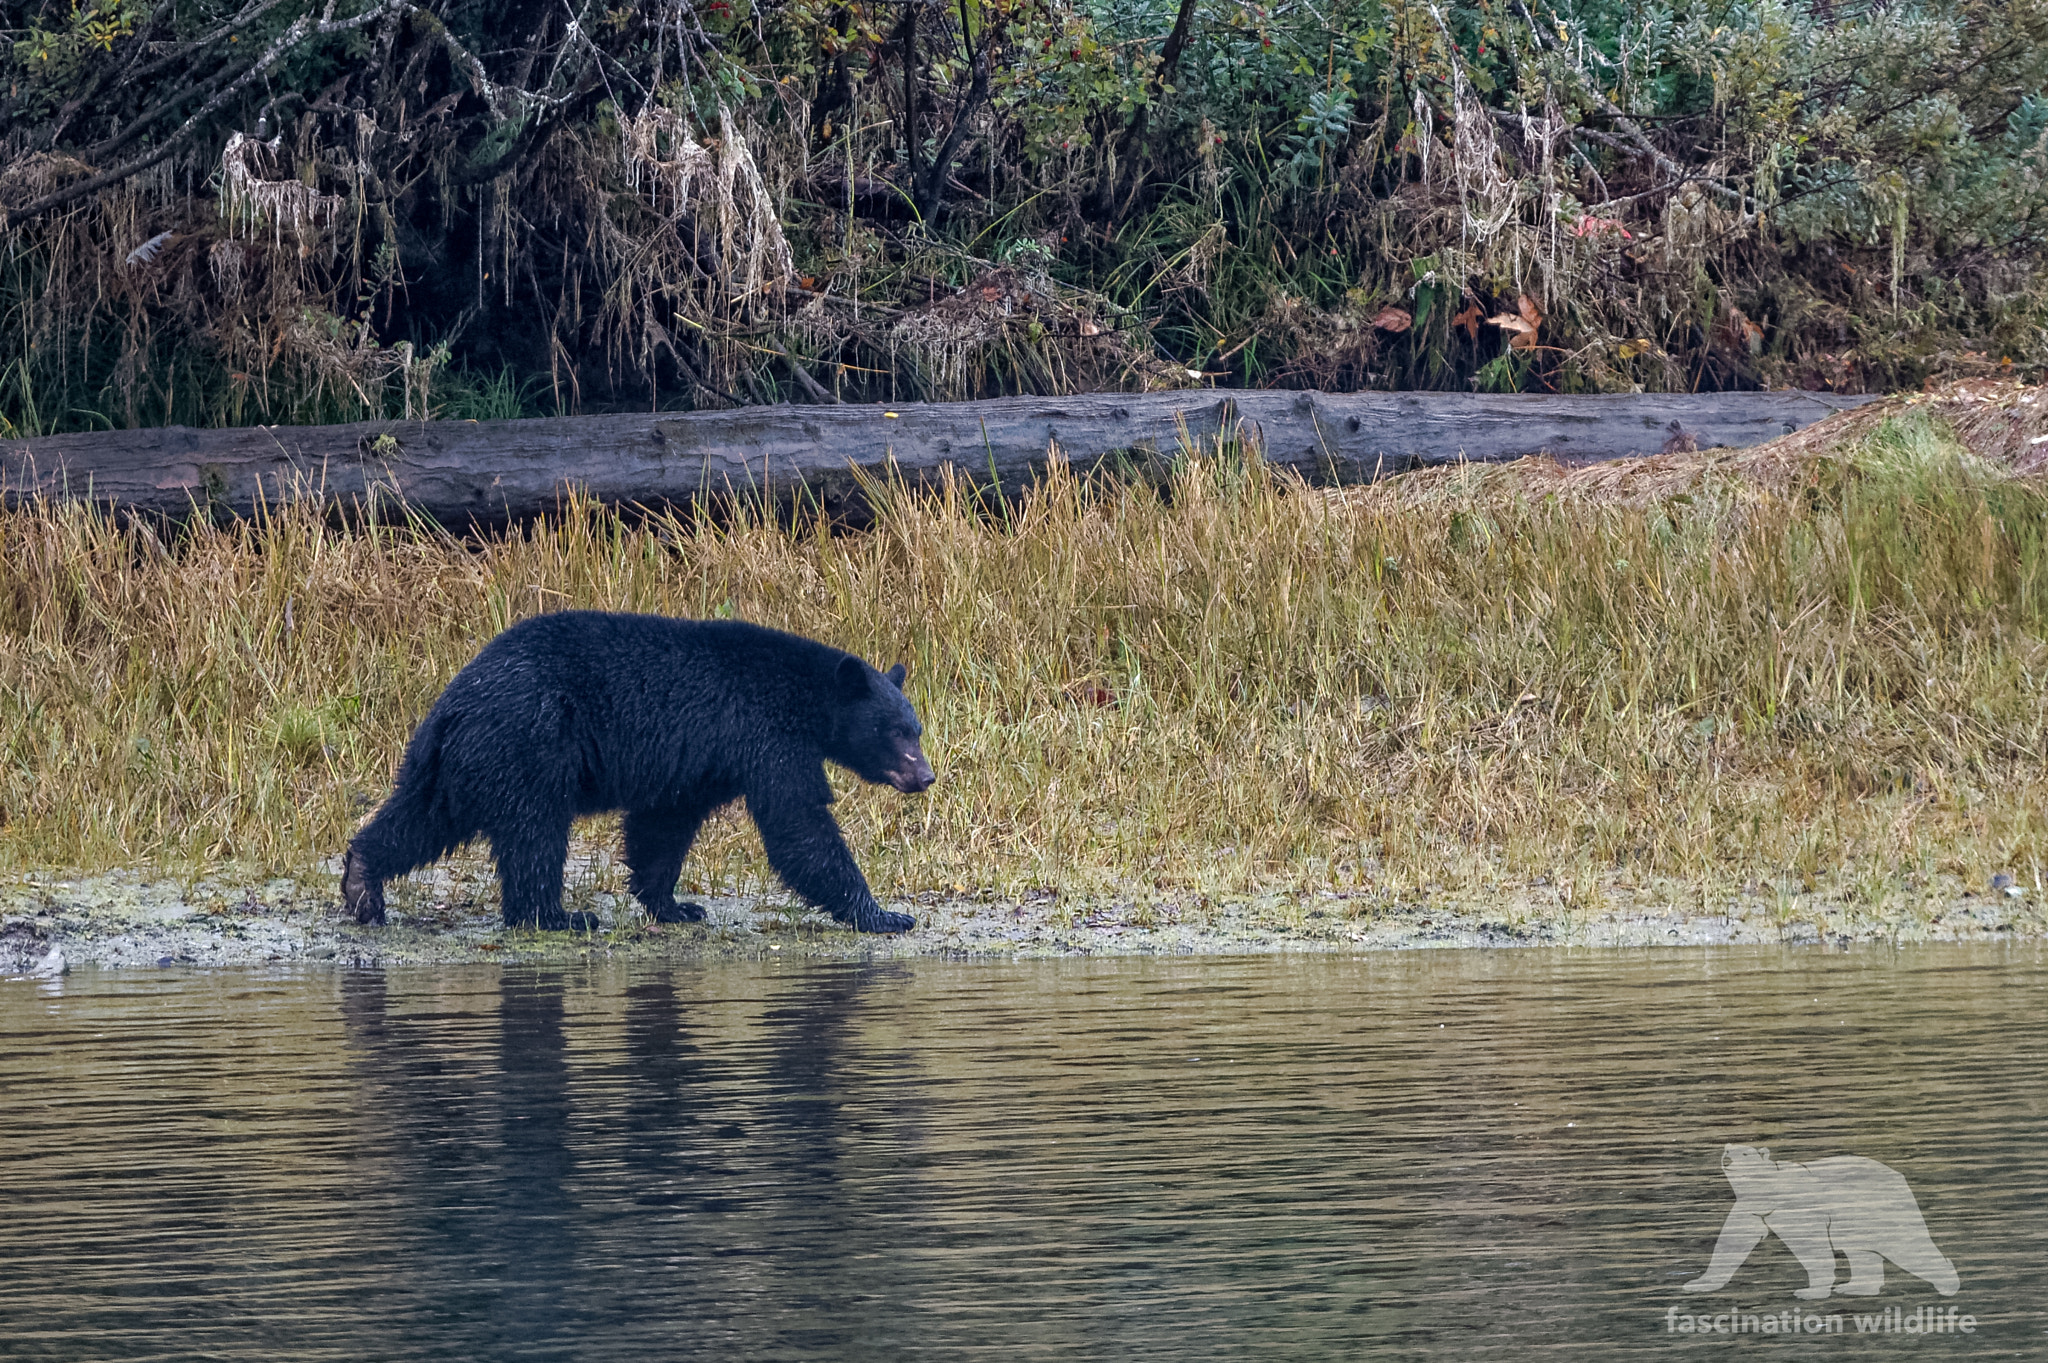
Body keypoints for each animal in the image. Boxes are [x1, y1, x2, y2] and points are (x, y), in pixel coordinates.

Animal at [340, 611, 934, 933]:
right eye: (895, 732)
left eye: (917, 728)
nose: (925, 777)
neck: (801, 696)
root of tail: (453, 702)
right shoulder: (766, 737)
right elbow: (800, 825)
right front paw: (884, 914)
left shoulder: (697, 759)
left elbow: (663, 825)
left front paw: (673, 905)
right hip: (530, 746)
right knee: (534, 834)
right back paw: (556, 916)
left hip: (459, 764)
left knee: (420, 818)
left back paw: (362, 882)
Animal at [1682, 1145, 1958, 1300]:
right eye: (1728, 1151)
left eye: (1746, 1153)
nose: (1728, 1160)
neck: (1768, 1191)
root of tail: (1898, 1176)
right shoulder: (1751, 1209)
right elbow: (1730, 1243)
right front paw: (1698, 1283)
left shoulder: (1797, 1207)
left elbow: (1811, 1247)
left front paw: (1810, 1291)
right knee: (1862, 1253)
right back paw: (1855, 1287)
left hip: (1878, 1208)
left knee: (1906, 1246)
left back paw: (1948, 1283)